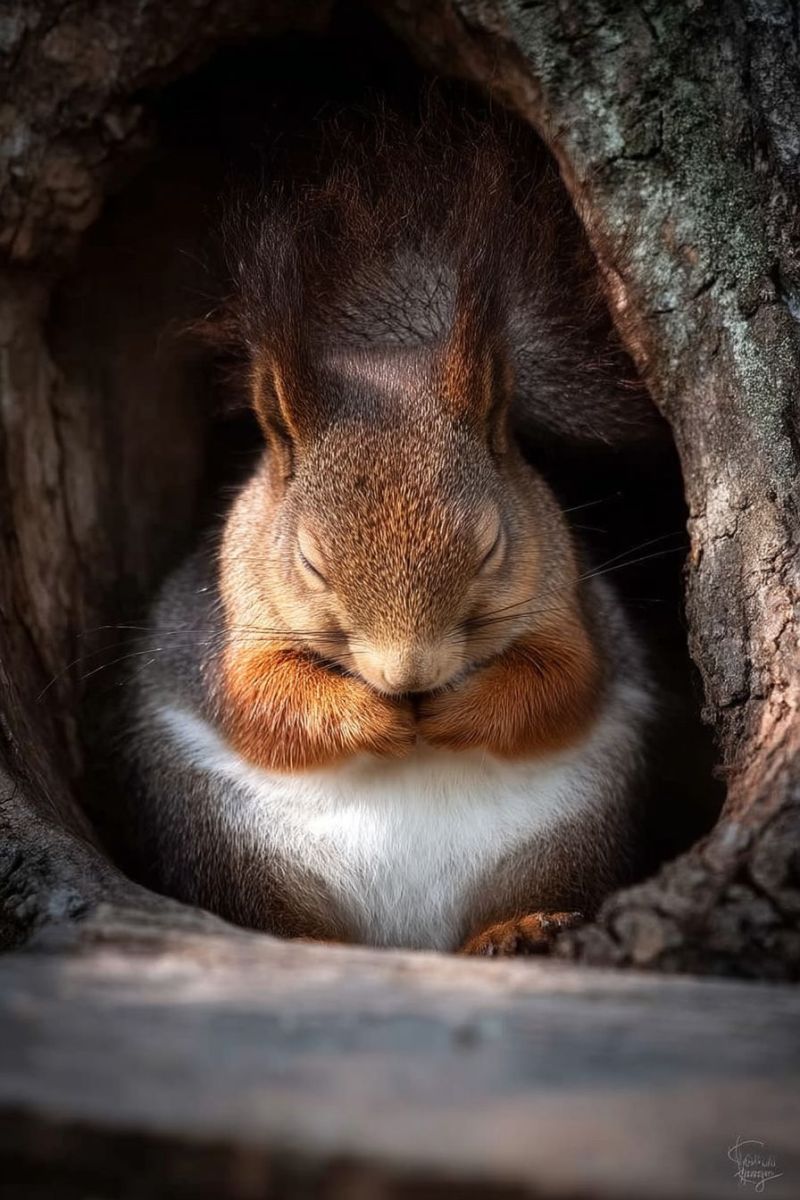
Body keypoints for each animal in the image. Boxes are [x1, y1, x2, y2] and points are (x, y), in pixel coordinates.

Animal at [119, 99, 658, 954]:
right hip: (229, 846)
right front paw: (371, 714)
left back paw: (515, 928)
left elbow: (558, 684)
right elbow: (260, 698)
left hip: (568, 839)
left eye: (490, 545)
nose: (410, 680)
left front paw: (455, 710)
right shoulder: (219, 627)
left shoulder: (571, 609)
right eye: (310, 561)